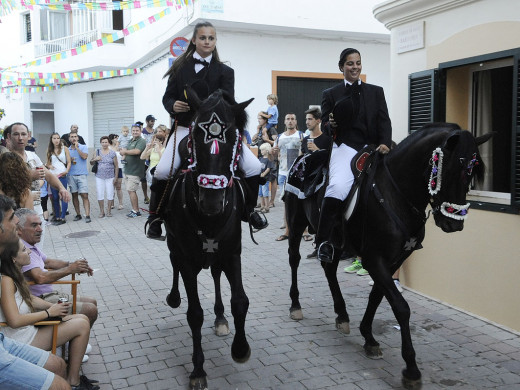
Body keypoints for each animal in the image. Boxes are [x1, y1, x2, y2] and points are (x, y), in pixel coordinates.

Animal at [162, 88, 252, 390]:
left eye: (234, 139)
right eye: (193, 141)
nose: (211, 202)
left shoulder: (232, 253)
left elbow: (240, 301)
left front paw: (240, 349)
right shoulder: (187, 260)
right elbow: (195, 314)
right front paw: (198, 370)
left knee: (214, 275)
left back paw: (221, 317)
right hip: (175, 247)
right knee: (173, 263)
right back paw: (174, 297)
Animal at [282, 123, 490, 388]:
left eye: (472, 172)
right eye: (450, 169)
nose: (453, 222)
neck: (395, 192)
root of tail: (303, 156)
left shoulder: (392, 261)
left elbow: (377, 296)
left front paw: (368, 337)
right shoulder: (374, 259)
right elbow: (401, 307)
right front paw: (411, 369)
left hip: (335, 240)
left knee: (329, 268)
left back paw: (342, 314)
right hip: (296, 222)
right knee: (294, 260)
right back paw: (296, 305)